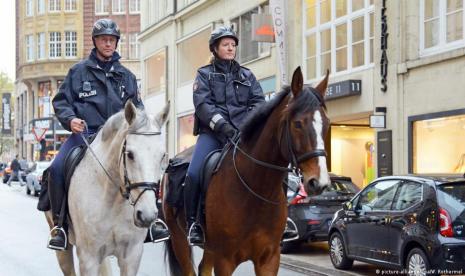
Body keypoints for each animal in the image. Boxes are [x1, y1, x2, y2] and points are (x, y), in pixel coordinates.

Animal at [44, 102, 169, 276]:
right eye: (130, 154)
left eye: (163, 155)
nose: (146, 215)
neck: (113, 199)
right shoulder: (89, 257)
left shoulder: (132, 255)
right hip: (64, 249)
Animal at [163, 67, 330, 276]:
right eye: (298, 123)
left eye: (327, 123)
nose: (320, 182)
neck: (255, 190)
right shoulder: (224, 260)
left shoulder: (269, 259)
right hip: (179, 239)